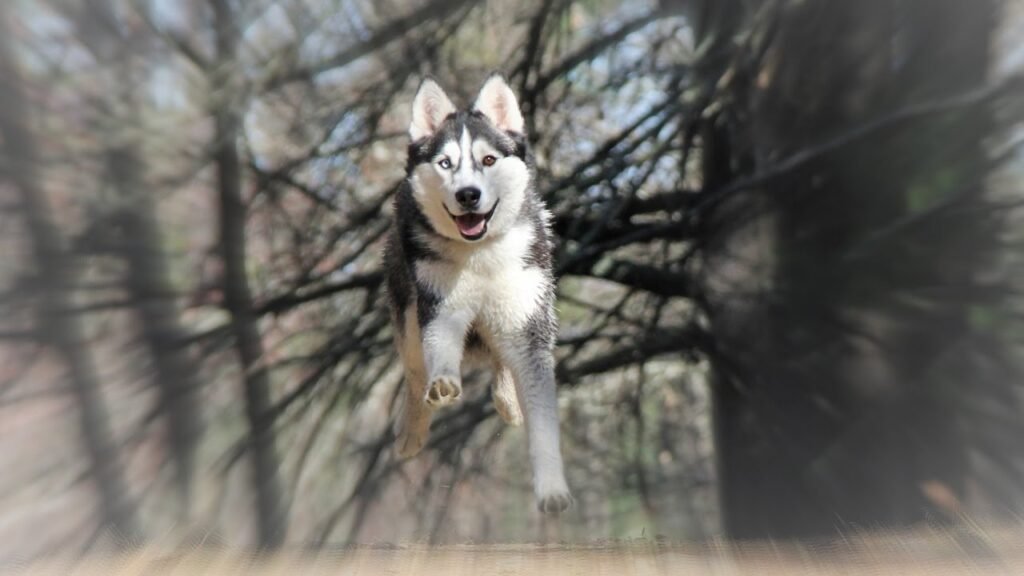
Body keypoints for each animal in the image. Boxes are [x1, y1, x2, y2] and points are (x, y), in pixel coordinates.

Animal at [385, 75, 573, 510]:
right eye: (445, 163)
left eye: (488, 161)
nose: (468, 194)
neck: (481, 255)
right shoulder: (439, 309)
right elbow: (440, 355)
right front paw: (443, 386)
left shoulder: (527, 318)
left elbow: (542, 421)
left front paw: (552, 488)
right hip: (408, 315)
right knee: (415, 373)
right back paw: (412, 430)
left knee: (505, 366)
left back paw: (508, 401)